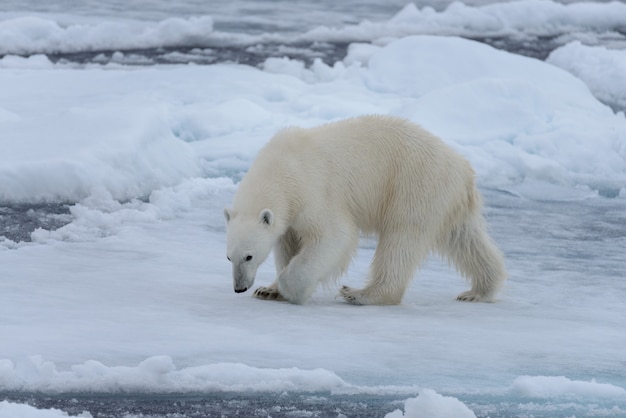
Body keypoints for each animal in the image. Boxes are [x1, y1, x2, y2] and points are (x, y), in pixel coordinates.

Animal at [222, 116, 504, 306]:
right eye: (228, 257)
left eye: (248, 256)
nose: (239, 288)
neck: (283, 167)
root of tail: (463, 169)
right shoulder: (291, 213)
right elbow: (288, 243)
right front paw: (269, 290)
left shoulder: (314, 191)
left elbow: (334, 235)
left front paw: (293, 289)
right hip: (447, 199)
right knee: (465, 239)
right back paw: (479, 291)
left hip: (414, 185)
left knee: (401, 240)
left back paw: (361, 294)